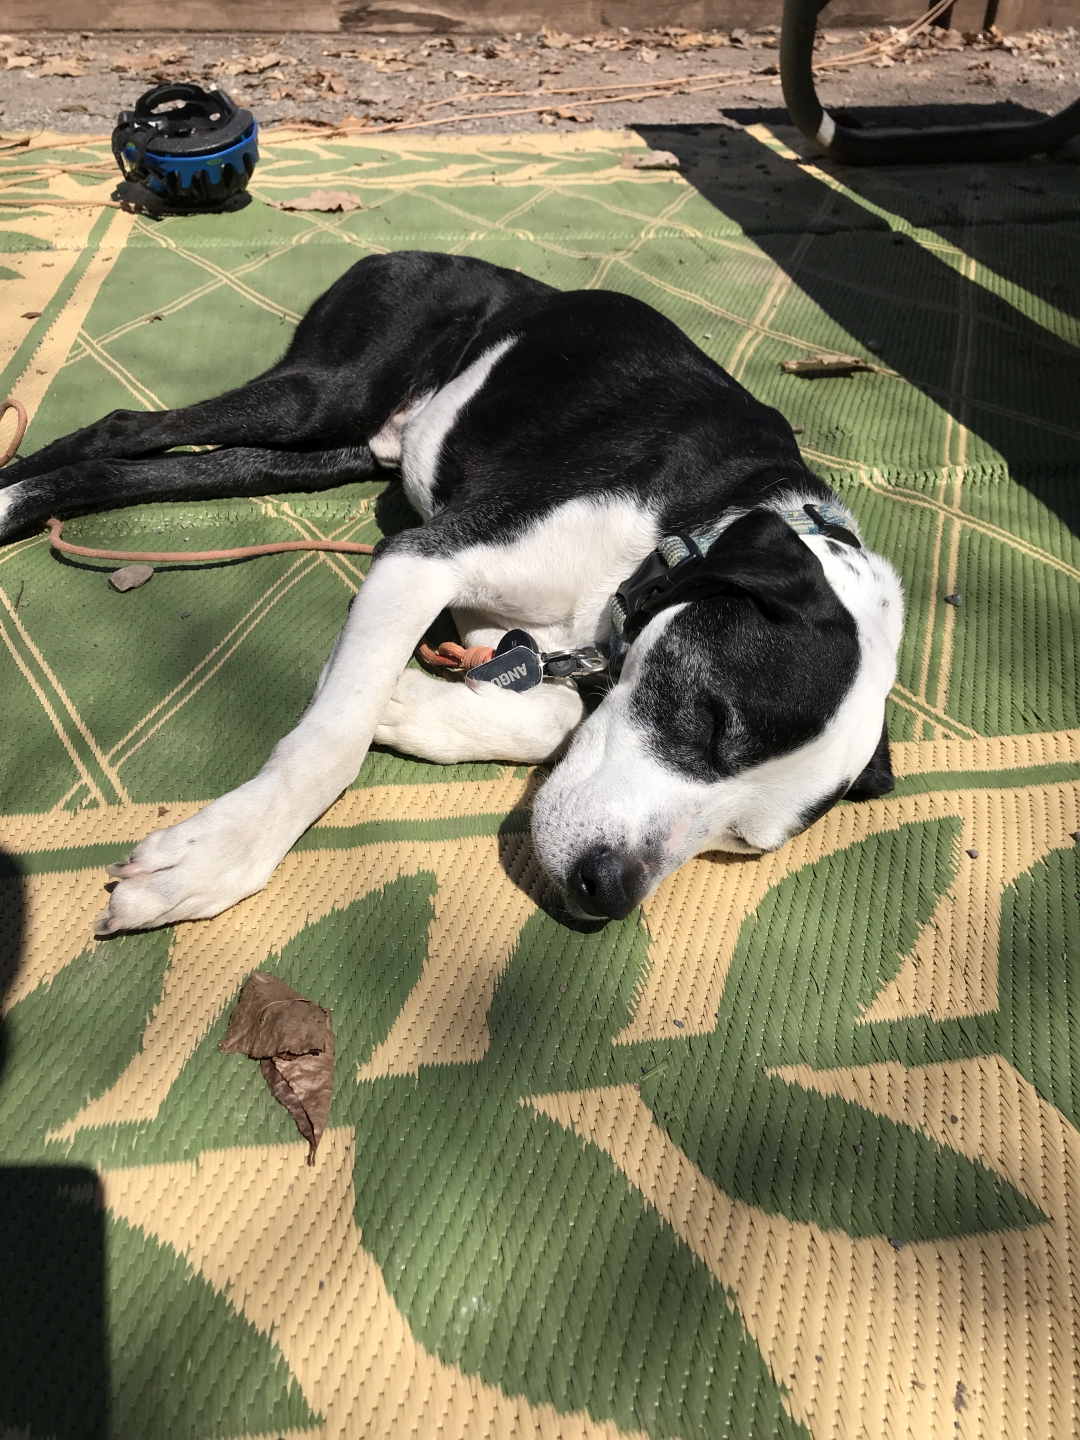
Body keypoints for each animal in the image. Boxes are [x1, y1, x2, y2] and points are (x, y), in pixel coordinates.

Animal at [0, 251, 903, 932]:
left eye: (744, 842)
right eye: (712, 718)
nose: (606, 892)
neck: (712, 515)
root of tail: (405, 253)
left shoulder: (503, 629)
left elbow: (551, 711)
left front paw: (405, 702)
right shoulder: (424, 558)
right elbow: (332, 743)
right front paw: (220, 854)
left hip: (323, 454)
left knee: (148, 465)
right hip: (322, 394)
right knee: (125, 426)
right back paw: (12, 496)